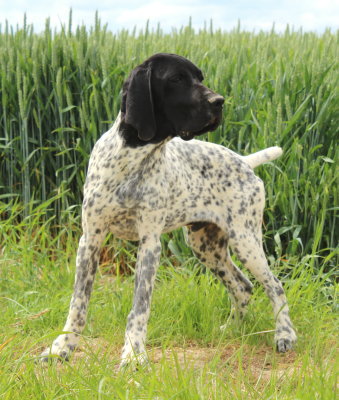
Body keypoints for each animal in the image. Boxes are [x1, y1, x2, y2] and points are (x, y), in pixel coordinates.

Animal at [41, 53, 298, 368]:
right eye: (177, 79)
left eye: (200, 77)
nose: (219, 102)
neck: (131, 160)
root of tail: (244, 161)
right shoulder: (90, 240)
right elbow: (78, 304)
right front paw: (62, 348)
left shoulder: (149, 243)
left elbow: (139, 307)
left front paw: (134, 354)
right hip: (206, 245)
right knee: (243, 286)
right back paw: (233, 330)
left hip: (245, 240)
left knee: (275, 285)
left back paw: (284, 335)